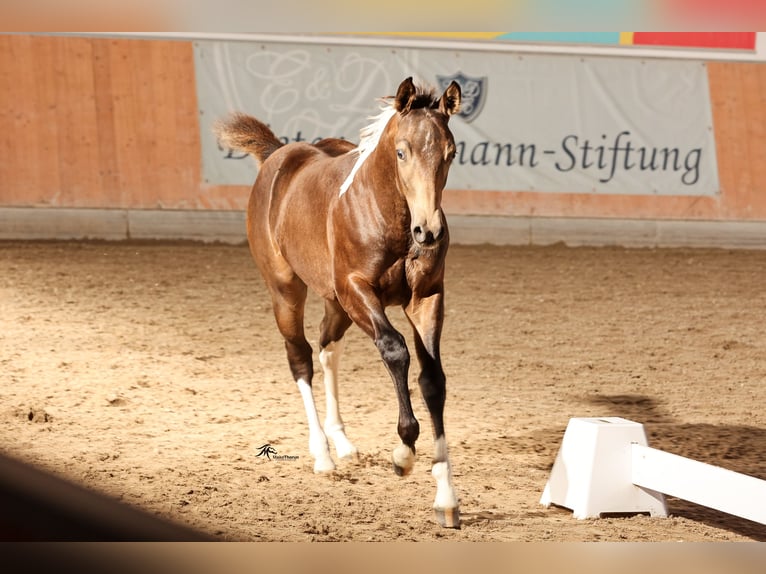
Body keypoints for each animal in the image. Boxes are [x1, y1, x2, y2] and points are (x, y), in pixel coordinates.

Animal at [214, 76, 462, 532]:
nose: (429, 231)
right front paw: (403, 455)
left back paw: (342, 442)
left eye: (450, 153)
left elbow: (433, 379)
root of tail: (277, 154)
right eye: (401, 151)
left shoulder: (425, 298)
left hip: (334, 303)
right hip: (287, 290)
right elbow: (395, 350)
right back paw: (322, 454)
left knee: (327, 348)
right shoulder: (357, 289)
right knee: (300, 357)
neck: (392, 219)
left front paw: (447, 499)